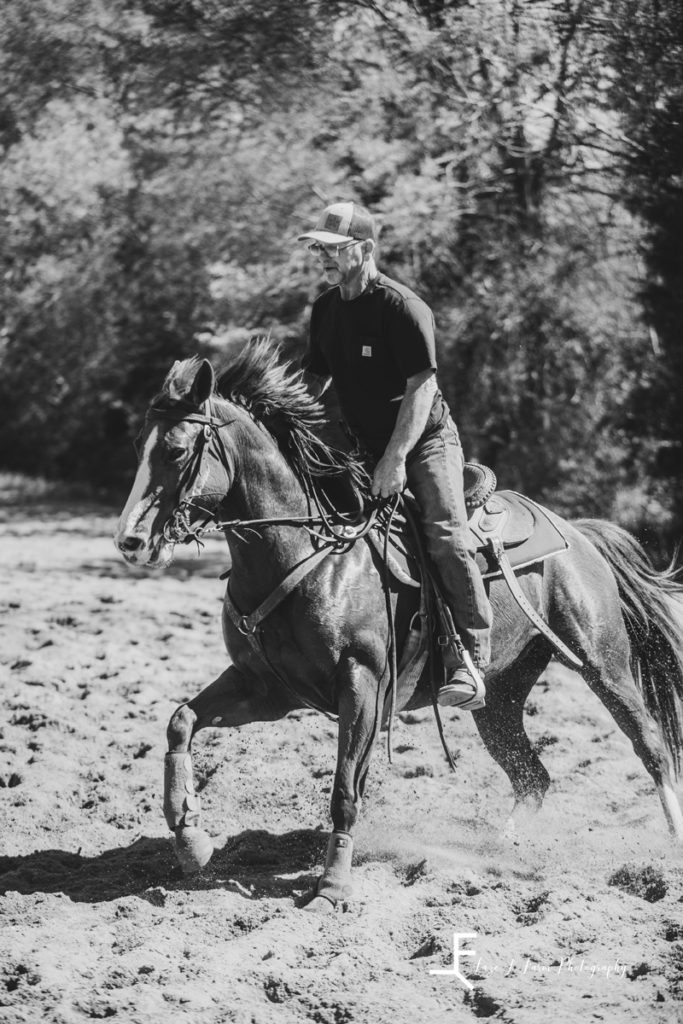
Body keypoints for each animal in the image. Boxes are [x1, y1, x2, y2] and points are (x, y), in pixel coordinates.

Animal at [114, 339, 683, 909]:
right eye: (138, 445)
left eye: (176, 452)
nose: (130, 541)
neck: (305, 556)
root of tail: (577, 532)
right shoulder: (266, 690)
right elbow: (181, 720)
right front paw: (190, 838)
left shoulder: (361, 684)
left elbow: (345, 790)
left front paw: (332, 886)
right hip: (500, 697)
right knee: (533, 778)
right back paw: (501, 851)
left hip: (602, 662)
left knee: (651, 745)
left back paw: (671, 844)